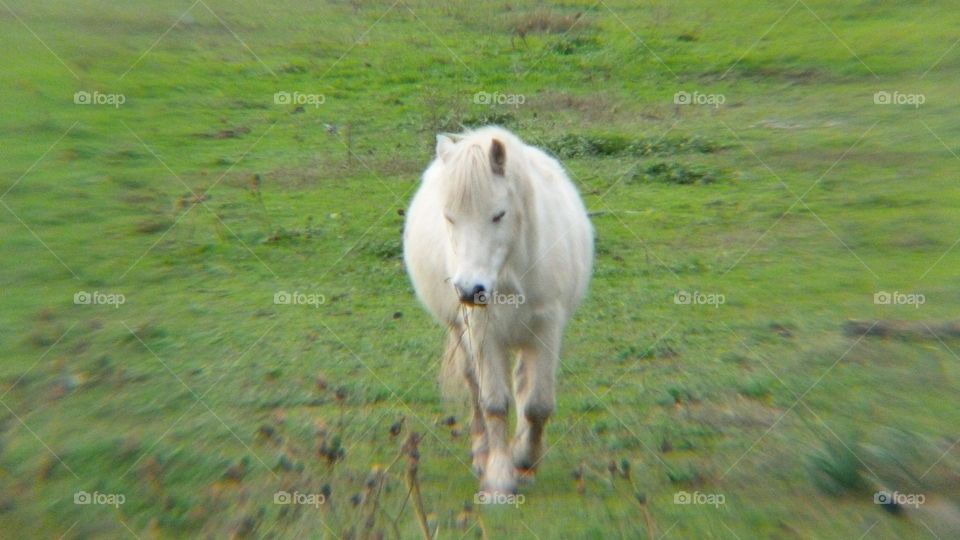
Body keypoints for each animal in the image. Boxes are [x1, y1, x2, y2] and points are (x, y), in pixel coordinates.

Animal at [403, 126, 594, 495]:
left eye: (498, 214)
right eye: (449, 217)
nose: (469, 290)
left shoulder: (547, 328)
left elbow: (537, 404)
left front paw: (525, 461)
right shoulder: (482, 332)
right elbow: (493, 403)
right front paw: (499, 478)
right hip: (461, 332)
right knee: (474, 386)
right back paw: (482, 454)